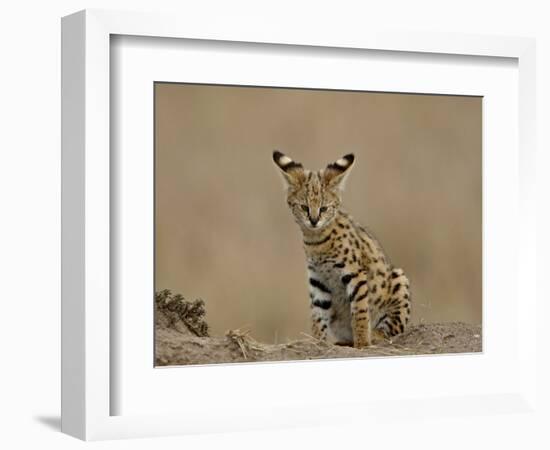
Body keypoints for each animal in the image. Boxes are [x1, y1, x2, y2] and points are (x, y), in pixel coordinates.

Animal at [274, 151, 412, 348]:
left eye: (324, 208)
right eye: (304, 207)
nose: (314, 221)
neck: (316, 241)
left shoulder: (355, 273)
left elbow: (360, 311)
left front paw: (362, 343)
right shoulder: (318, 279)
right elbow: (317, 315)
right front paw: (317, 343)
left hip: (399, 279)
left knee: (393, 329)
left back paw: (374, 335)